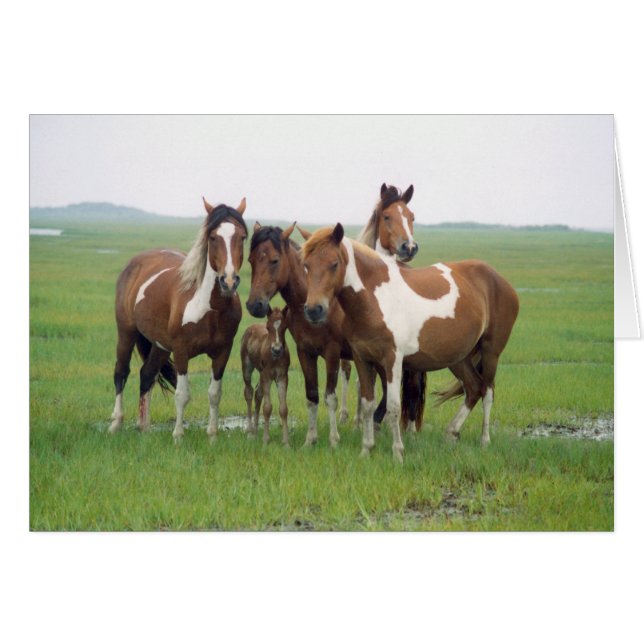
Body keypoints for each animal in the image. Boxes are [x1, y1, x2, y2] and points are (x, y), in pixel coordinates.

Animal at [108, 196, 248, 442]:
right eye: (213, 237)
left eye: (242, 237)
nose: (229, 281)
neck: (209, 308)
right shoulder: (181, 351)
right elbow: (182, 394)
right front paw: (178, 437)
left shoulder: (223, 352)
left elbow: (214, 394)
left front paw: (212, 437)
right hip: (126, 332)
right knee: (121, 373)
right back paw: (116, 424)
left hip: (160, 345)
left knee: (147, 375)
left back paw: (144, 428)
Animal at [240, 306, 290, 445]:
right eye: (268, 327)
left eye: (285, 327)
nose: (277, 350)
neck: (275, 358)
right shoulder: (267, 376)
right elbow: (267, 407)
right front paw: (266, 440)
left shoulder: (282, 377)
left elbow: (283, 408)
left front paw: (286, 442)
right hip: (247, 367)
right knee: (249, 392)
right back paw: (250, 432)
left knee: (258, 393)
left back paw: (256, 431)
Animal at [301, 224, 519, 462]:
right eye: (306, 265)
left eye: (334, 264)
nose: (314, 310)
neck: (375, 299)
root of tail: (499, 280)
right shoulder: (362, 358)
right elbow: (367, 404)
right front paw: (366, 449)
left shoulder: (393, 360)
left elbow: (394, 406)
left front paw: (398, 453)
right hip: (458, 358)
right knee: (474, 388)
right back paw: (451, 432)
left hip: (491, 352)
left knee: (488, 392)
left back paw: (484, 440)